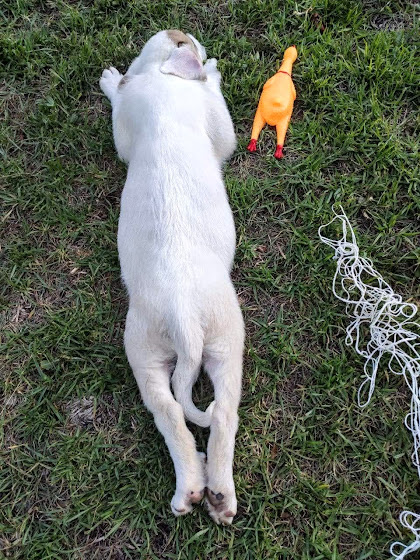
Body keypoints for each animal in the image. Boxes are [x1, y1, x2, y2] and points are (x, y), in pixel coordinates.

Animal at [100, 28, 244, 524]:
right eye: (189, 42)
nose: (197, 43)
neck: (163, 77)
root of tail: (182, 315)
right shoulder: (213, 124)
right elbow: (223, 129)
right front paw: (213, 70)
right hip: (225, 337)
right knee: (221, 415)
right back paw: (217, 492)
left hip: (145, 348)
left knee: (170, 413)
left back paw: (195, 488)